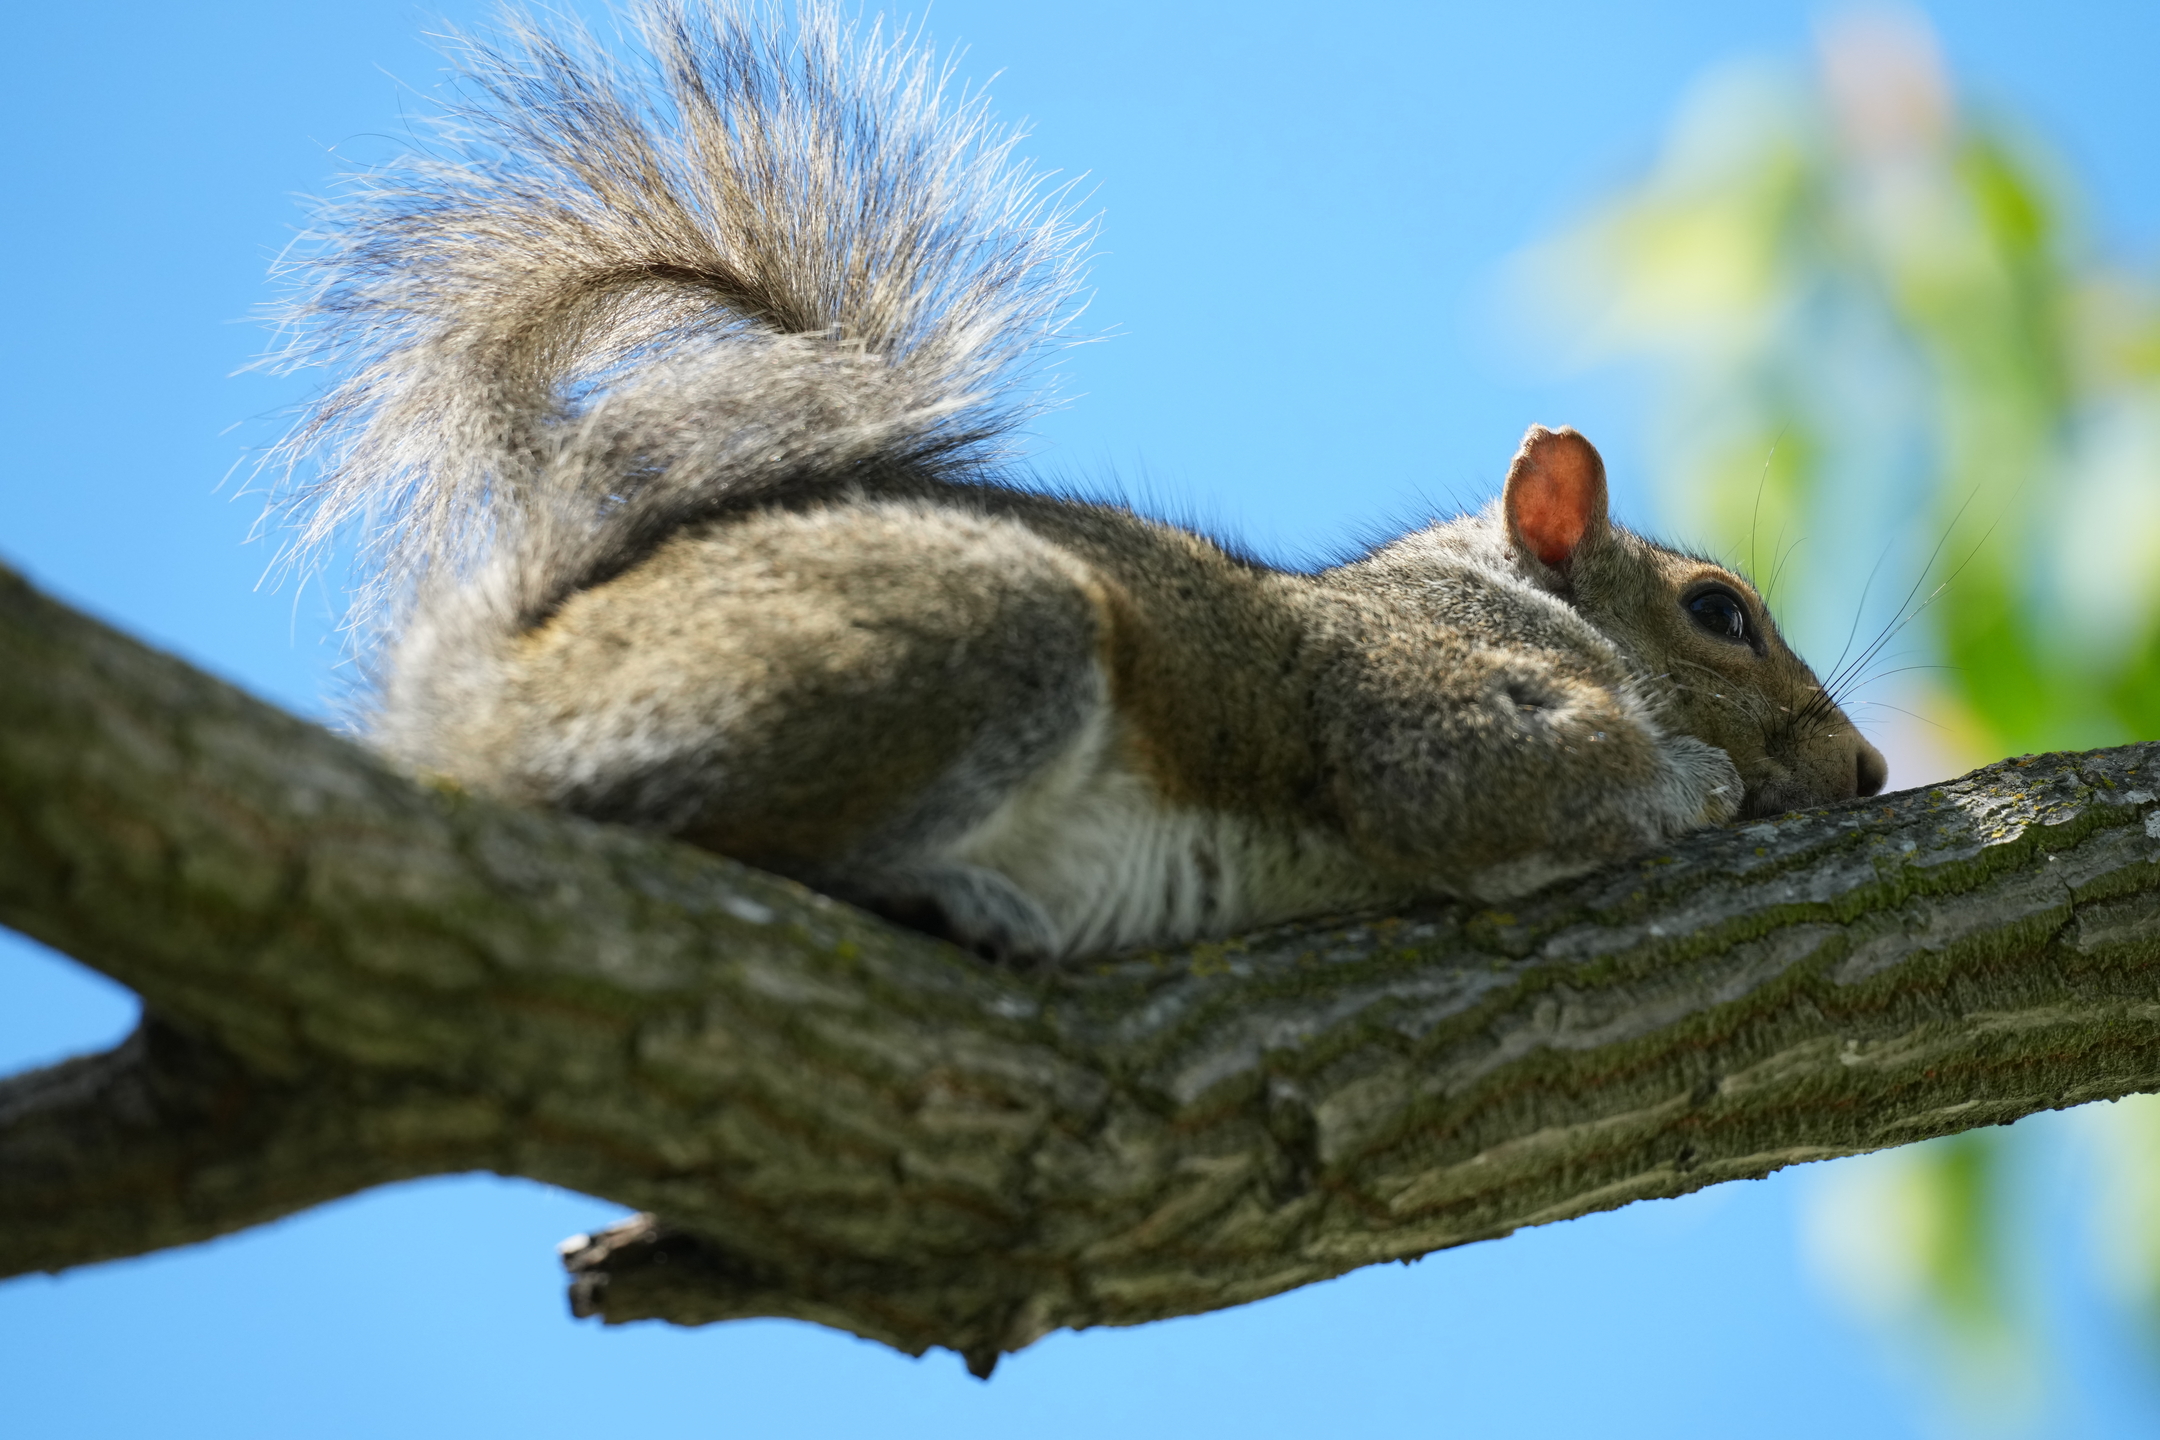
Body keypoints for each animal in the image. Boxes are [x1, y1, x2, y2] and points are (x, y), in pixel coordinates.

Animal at [273, 0, 1887, 964]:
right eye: (1719, 612)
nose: (1872, 772)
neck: (1492, 588)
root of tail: (480, 707)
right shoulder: (1419, 689)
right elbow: (1476, 773)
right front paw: (1693, 780)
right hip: (967, 634)